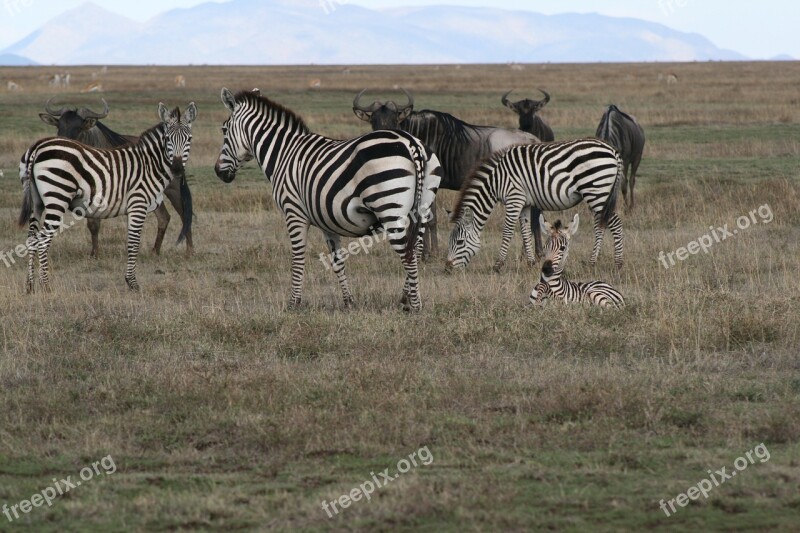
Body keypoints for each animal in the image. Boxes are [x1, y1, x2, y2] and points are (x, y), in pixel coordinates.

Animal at [19, 102, 197, 294]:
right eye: (167, 138)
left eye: (189, 139)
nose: (177, 169)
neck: (150, 164)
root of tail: (37, 147)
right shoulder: (138, 204)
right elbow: (133, 242)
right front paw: (132, 282)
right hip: (57, 197)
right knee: (43, 240)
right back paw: (46, 286)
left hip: (37, 202)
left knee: (32, 238)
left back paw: (29, 286)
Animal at [216, 88, 444, 312]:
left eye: (224, 130)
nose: (218, 172)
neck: (284, 154)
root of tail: (411, 143)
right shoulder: (328, 220)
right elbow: (337, 260)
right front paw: (349, 302)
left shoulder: (294, 212)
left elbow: (297, 257)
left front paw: (293, 303)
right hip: (423, 206)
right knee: (416, 247)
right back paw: (405, 298)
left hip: (390, 209)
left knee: (408, 254)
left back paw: (415, 306)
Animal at [444, 138, 624, 270]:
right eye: (450, 241)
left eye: (459, 242)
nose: (447, 268)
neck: (496, 182)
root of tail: (612, 150)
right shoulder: (523, 203)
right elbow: (524, 230)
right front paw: (531, 263)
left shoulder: (514, 198)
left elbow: (508, 231)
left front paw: (498, 265)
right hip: (598, 194)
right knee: (601, 225)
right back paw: (592, 262)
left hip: (596, 191)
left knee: (615, 224)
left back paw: (618, 263)